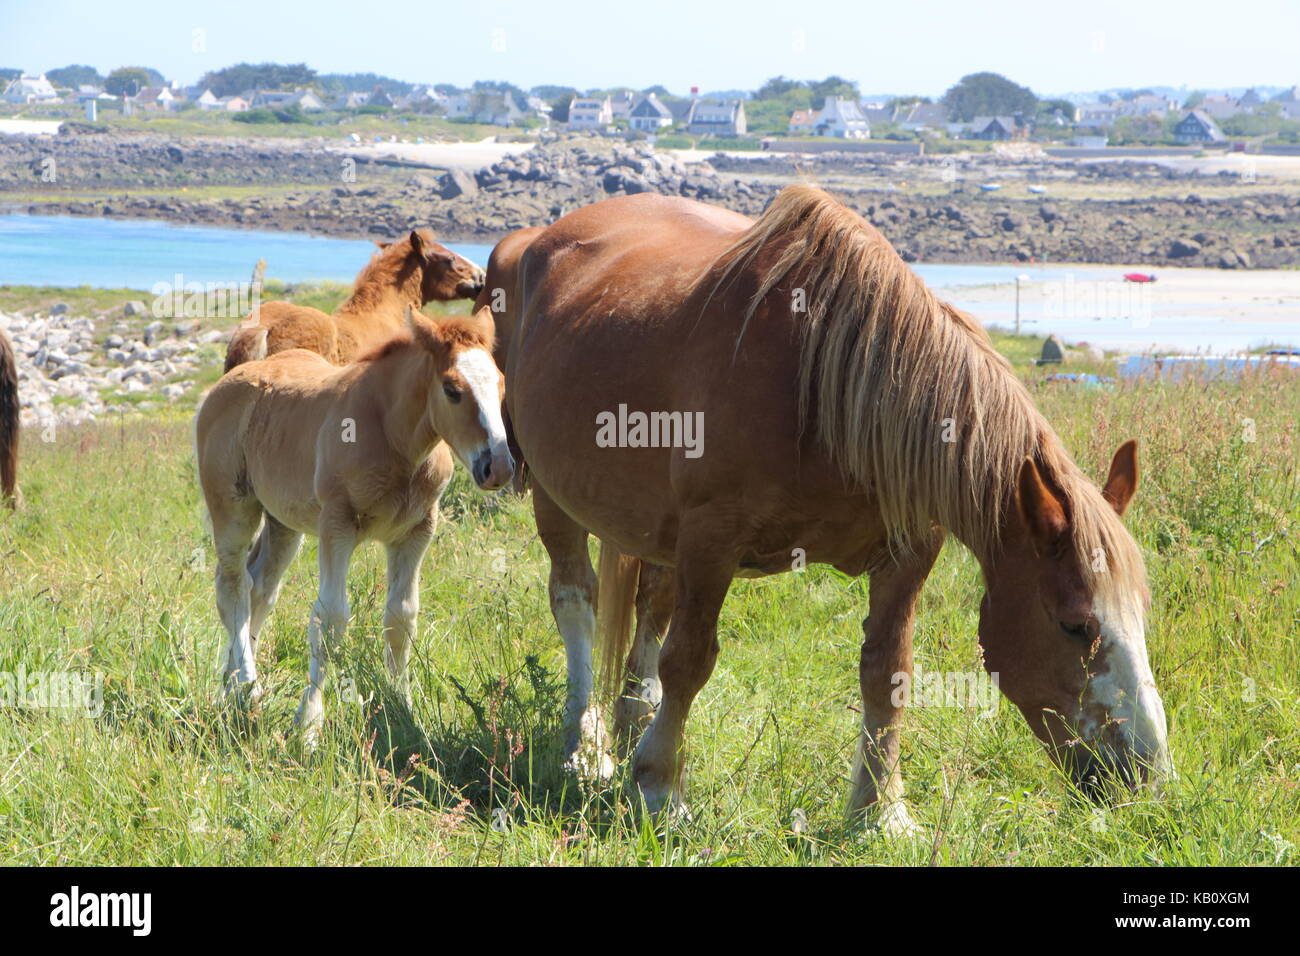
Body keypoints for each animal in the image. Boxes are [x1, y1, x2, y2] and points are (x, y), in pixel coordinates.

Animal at [197, 306, 512, 733]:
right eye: (452, 389)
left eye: (501, 384)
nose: (498, 467)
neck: (394, 438)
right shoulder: (338, 524)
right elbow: (330, 619)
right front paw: (308, 724)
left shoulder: (416, 532)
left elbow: (401, 617)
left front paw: (401, 706)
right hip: (233, 508)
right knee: (233, 587)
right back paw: (249, 687)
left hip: (283, 522)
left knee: (259, 588)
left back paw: (230, 690)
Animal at [501, 188, 1175, 832]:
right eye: (1076, 625)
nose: (1148, 778)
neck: (825, 383)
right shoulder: (711, 539)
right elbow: (688, 661)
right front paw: (661, 789)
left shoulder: (908, 553)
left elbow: (888, 673)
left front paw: (881, 811)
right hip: (553, 494)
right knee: (576, 600)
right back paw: (586, 743)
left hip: (656, 536)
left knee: (649, 609)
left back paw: (631, 724)